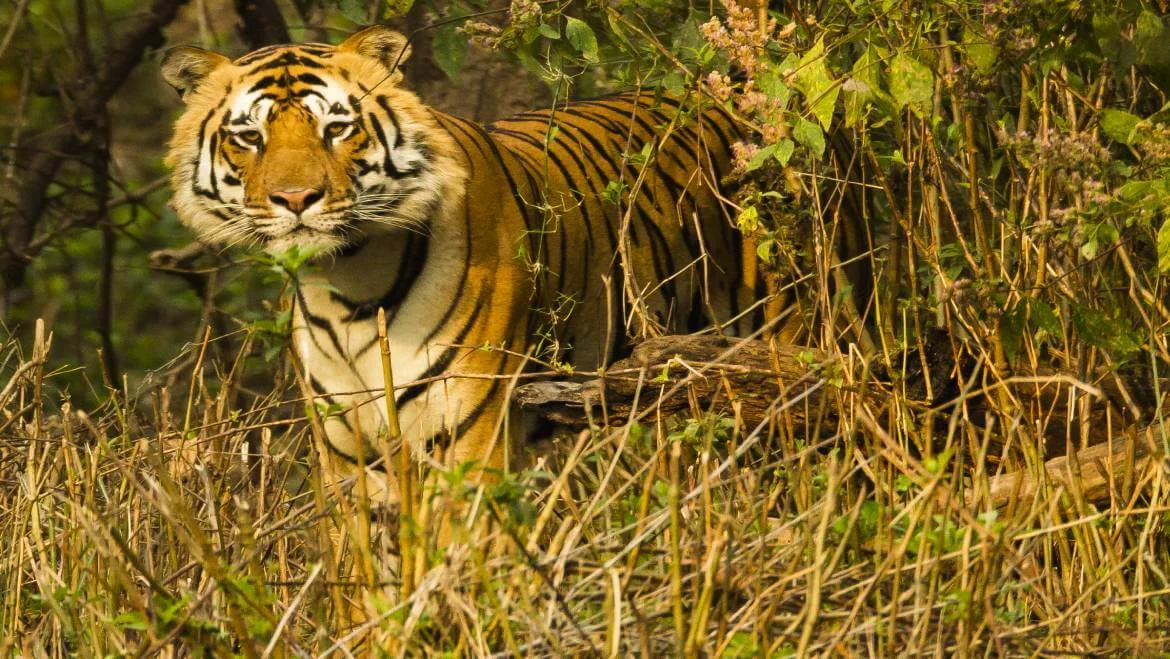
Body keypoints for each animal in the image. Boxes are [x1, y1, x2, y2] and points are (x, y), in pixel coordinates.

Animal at [162, 24, 758, 510]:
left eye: (336, 129)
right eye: (249, 137)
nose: (295, 198)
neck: (348, 284)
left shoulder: (465, 434)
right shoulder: (347, 456)